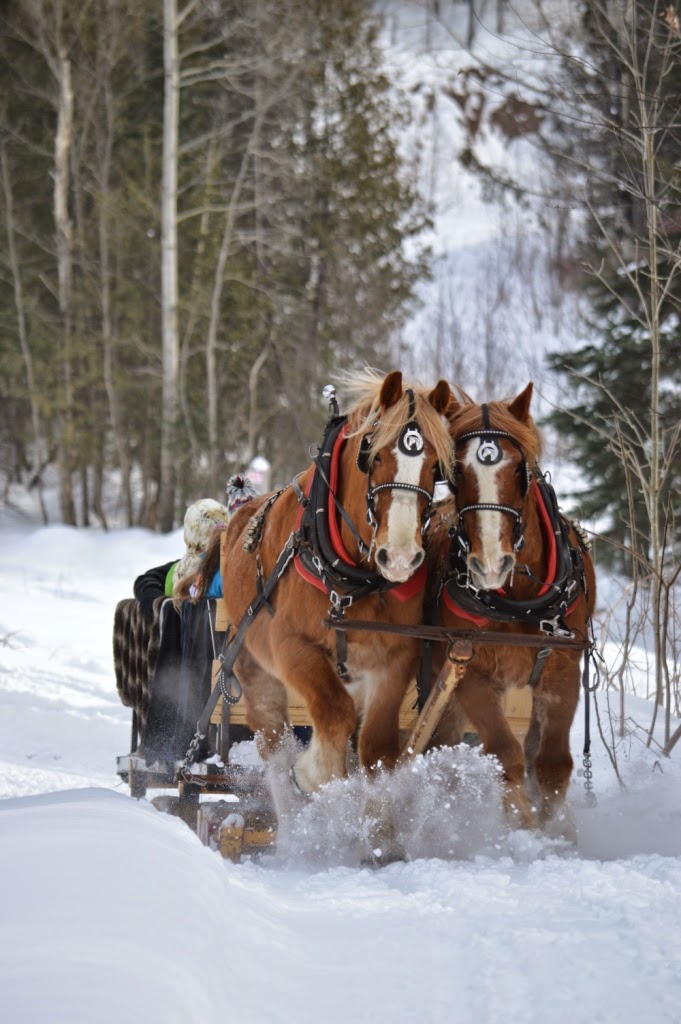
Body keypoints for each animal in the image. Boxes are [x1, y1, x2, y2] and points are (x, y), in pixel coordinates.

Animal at [204, 372, 454, 794]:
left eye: (436, 465)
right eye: (375, 457)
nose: (400, 556)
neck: (354, 582)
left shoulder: (397, 657)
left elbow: (376, 747)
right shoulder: (291, 645)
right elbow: (335, 718)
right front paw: (315, 775)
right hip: (252, 666)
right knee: (272, 741)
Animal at [430, 385, 593, 831]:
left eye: (521, 469)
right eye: (455, 472)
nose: (490, 565)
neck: (520, 603)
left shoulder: (563, 671)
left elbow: (553, 765)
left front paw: (558, 835)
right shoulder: (468, 672)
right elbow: (506, 754)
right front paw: (524, 830)